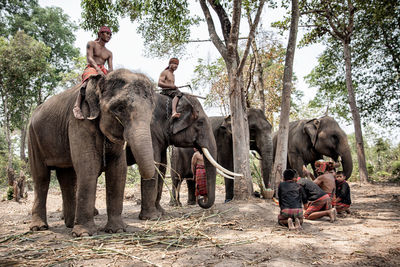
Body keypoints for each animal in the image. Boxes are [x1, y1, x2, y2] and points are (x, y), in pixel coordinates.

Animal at [28, 69, 155, 237]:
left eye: (152, 111)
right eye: (119, 108)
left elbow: (118, 170)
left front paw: (116, 230)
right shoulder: (79, 120)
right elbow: (88, 166)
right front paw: (84, 233)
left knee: (66, 177)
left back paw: (70, 224)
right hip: (33, 138)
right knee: (41, 178)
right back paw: (39, 227)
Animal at [125, 92, 238, 220]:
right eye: (200, 123)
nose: (201, 201)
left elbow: (162, 166)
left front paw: (162, 213)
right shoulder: (149, 132)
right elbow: (153, 164)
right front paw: (152, 217)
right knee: (177, 179)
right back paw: (176, 205)